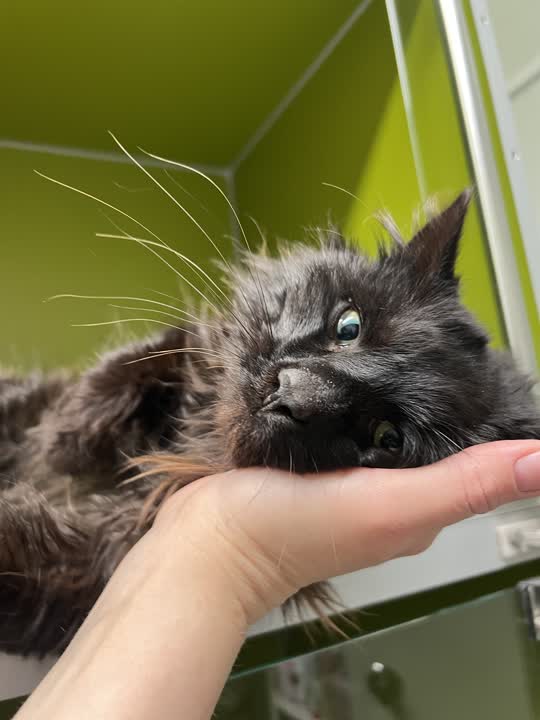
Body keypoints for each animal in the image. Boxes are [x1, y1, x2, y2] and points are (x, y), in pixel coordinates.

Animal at [0, 189, 539, 658]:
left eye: (388, 438)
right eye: (349, 327)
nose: (293, 395)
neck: (195, 438)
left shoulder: (91, 565)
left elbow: (33, 571)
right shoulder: (182, 352)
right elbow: (145, 353)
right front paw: (69, 436)